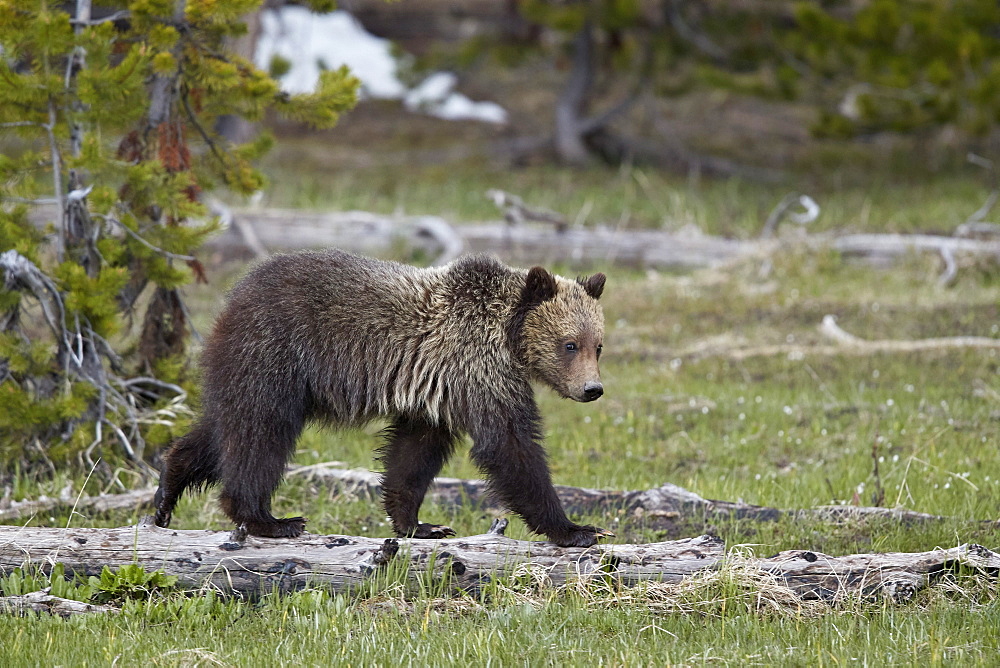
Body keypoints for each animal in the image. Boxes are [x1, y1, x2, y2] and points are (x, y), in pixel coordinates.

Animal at [154, 248, 608, 544]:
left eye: (597, 345)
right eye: (569, 344)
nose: (593, 389)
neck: (508, 335)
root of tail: (235, 293)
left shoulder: (437, 389)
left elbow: (414, 452)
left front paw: (420, 525)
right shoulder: (477, 366)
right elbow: (510, 444)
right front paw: (577, 529)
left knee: (222, 428)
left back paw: (166, 492)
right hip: (275, 354)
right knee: (259, 433)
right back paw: (269, 519)